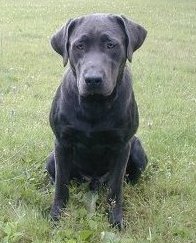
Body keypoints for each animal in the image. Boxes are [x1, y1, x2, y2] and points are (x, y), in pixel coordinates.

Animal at [45, 13, 147, 230]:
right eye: (79, 46)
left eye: (111, 44)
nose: (93, 79)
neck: (94, 104)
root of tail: (93, 182)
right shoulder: (62, 143)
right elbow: (61, 186)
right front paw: (56, 215)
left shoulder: (122, 146)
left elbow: (116, 188)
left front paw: (116, 219)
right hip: (51, 159)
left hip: (137, 150)